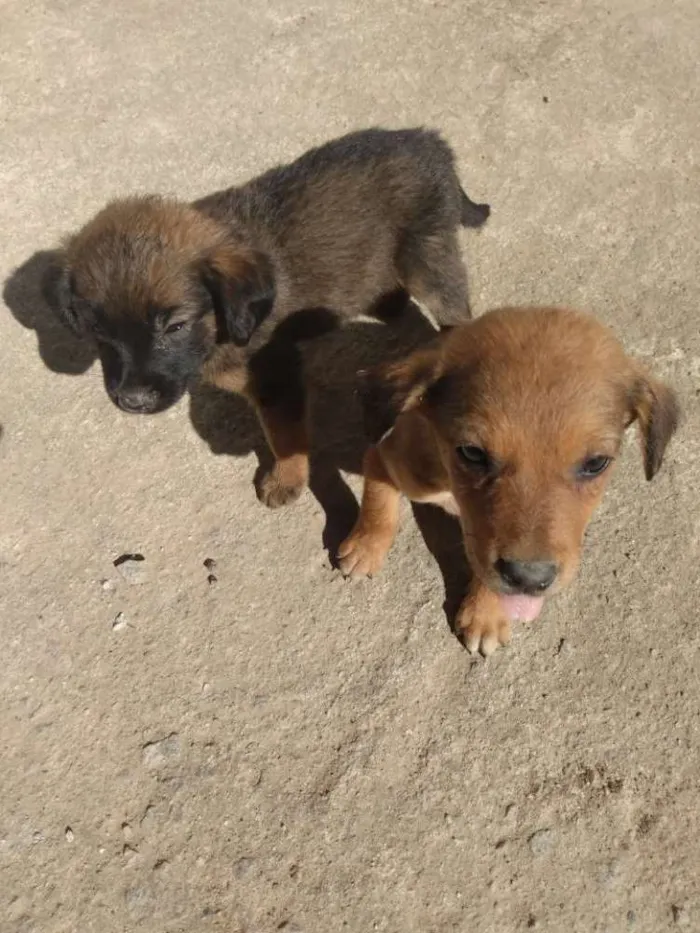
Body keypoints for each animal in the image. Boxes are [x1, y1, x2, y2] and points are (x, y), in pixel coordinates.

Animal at [49, 127, 490, 506]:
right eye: (98, 332)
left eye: (175, 326)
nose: (132, 402)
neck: (221, 328)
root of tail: (430, 141)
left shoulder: (276, 378)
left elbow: (284, 437)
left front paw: (285, 481)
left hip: (428, 258)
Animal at [340, 308, 680, 656]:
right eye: (472, 453)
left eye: (596, 463)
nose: (529, 579)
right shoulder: (393, 457)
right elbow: (378, 493)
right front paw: (366, 544)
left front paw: (484, 614)